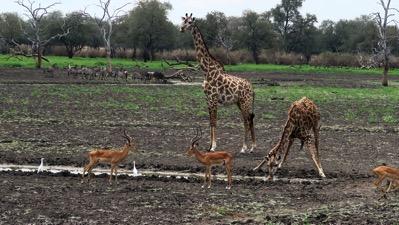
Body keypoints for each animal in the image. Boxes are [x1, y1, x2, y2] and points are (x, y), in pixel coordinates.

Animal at [180, 12, 256, 153]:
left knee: (246, 121)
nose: (181, 29)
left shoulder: (214, 98)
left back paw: (244, 148)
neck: (206, 70)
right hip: (239, 102)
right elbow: (210, 121)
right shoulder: (208, 98)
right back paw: (253, 147)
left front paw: (214, 146)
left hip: (245, 102)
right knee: (250, 119)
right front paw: (209, 146)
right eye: (183, 21)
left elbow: (214, 121)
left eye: (190, 22)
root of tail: (252, 89)